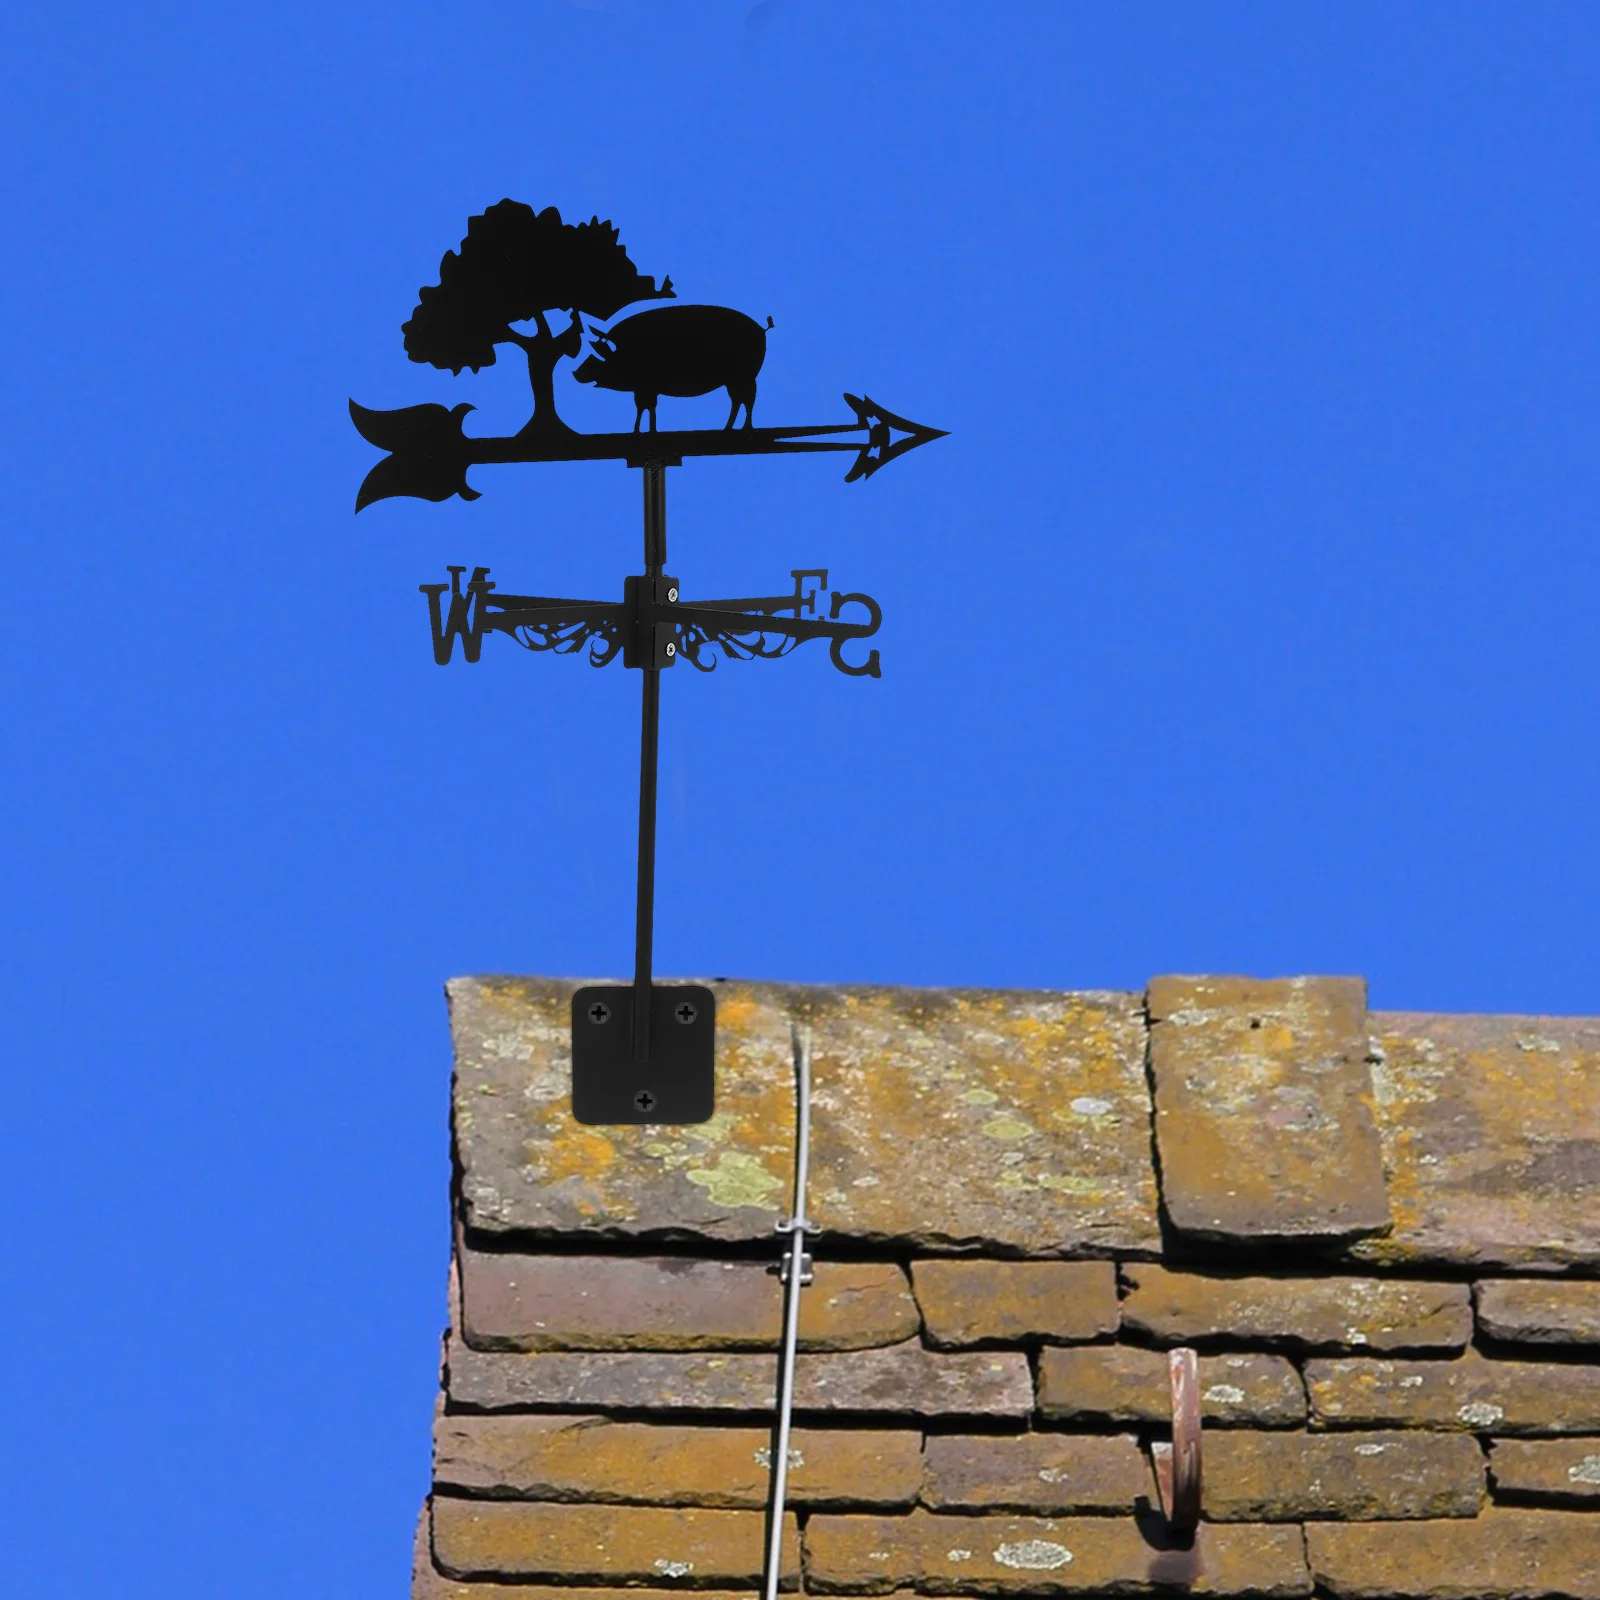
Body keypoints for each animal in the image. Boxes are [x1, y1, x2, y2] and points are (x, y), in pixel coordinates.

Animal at [572, 304, 771, 432]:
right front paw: (645, 431)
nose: (575, 372)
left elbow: (645, 407)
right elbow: (647, 408)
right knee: (739, 400)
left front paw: (641, 431)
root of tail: (762, 329)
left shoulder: (645, 387)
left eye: (596, 357)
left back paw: (742, 429)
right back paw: (729, 429)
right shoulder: (645, 389)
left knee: (747, 400)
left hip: (744, 377)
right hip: (736, 380)